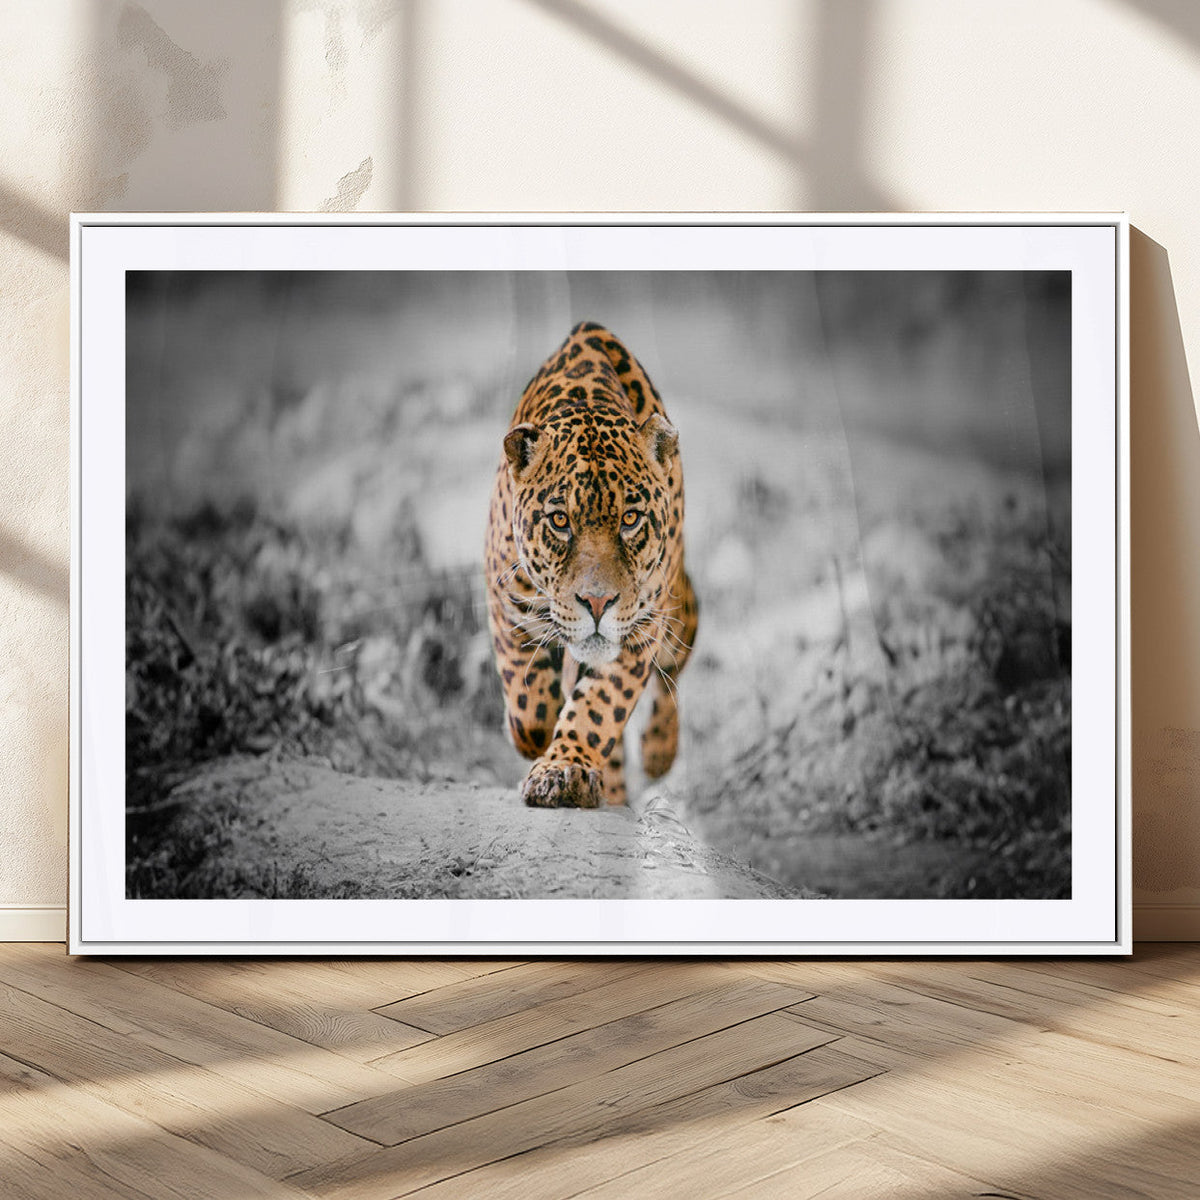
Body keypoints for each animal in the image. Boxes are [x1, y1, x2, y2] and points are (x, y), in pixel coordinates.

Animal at [484, 322, 699, 808]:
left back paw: (658, 752)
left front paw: (563, 770)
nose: (597, 603)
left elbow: (599, 707)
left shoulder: (641, 628)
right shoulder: (505, 600)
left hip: (678, 610)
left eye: (631, 519)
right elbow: (529, 704)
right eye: (560, 521)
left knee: (674, 669)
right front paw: (536, 738)